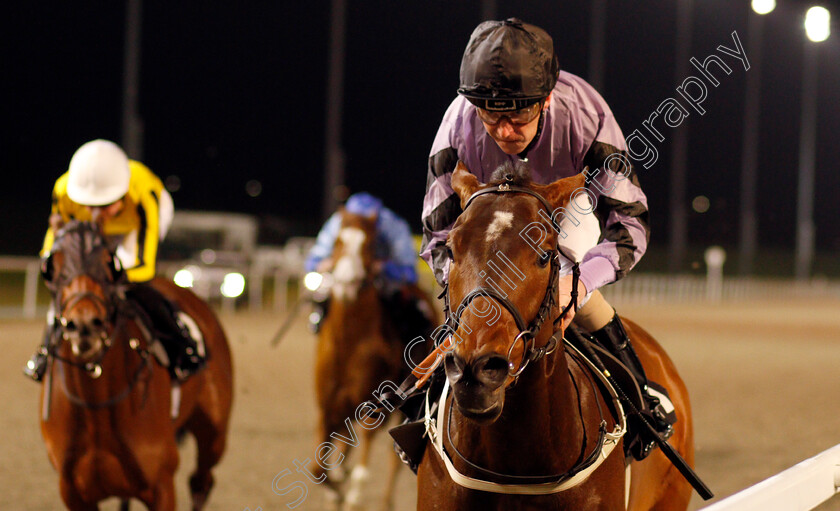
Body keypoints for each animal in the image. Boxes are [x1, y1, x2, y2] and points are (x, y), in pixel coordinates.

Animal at [38, 223, 233, 511]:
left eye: (110, 262)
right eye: (53, 265)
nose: (84, 324)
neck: (96, 407)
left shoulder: (162, 484)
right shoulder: (74, 492)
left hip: (214, 436)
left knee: (201, 481)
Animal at [312, 209, 436, 511]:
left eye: (368, 246)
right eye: (338, 242)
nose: (347, 283)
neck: (349, 342)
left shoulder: (377, 403)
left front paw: (352, 494)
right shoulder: (327, 405)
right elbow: (317, 467)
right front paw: (336, 492)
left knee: (394, 456)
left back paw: (384, 500)